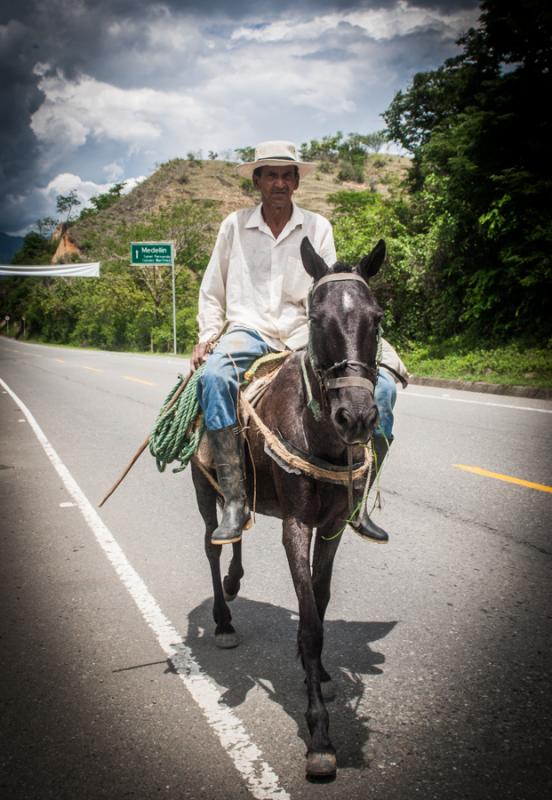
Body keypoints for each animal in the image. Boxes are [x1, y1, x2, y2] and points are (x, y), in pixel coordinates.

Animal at [192, 236, 386, 776]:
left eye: (377, 317)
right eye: (316, 317)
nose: (356, 417)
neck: (318, 431)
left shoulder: (334, 526)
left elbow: (319, 601)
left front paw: (317, 674)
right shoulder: (296, 525)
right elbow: (311, 624)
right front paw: (319, 734)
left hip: (247, 494)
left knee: (239, 523)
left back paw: (236, 582)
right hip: (204, 489)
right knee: (214, 542)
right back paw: (222, 620)